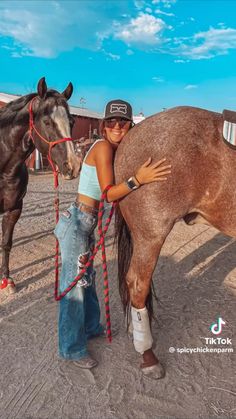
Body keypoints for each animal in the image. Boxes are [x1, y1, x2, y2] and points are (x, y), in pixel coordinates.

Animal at [0, 77, 81, 294]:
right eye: (46, 122)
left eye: (72, 122)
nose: (73, 165)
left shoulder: (14, 208)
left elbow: (6, 242)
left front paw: (6, 280)